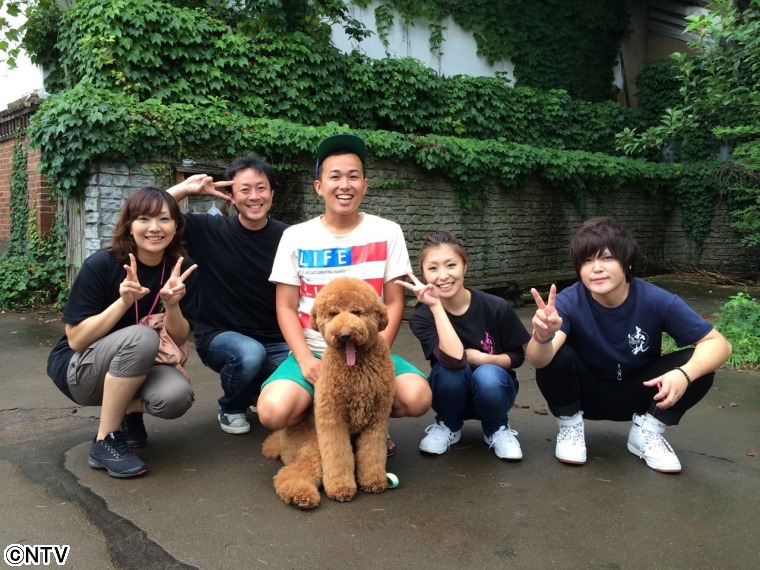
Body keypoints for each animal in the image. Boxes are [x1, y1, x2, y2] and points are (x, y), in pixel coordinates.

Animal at [262, 277, 396, 509]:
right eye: (333, 314)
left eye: (356, 312)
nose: (345, 335)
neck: (356, 369)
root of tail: (282, 438)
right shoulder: (332, 418)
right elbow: (337, 455)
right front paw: (341, 488)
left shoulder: (377, 418)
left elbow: (372, 453)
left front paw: (373, 480)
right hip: (313, 449)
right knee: (287, 474)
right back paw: (302, 495)